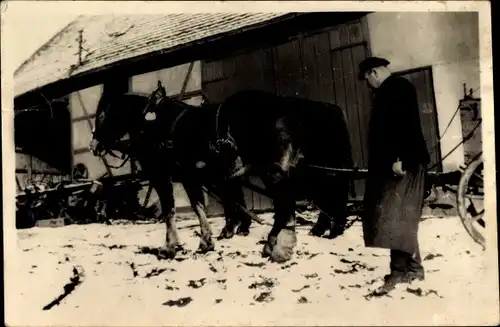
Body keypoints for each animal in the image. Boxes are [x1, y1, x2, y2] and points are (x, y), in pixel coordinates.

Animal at [91, 84, 352, 264]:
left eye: (101, 115)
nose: (94, 146)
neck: (153, 123)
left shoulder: (162, 176)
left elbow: (171, 211)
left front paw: (170, 247)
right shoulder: (193, 176)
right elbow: (200, 206)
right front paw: (208, 240)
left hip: (274, 171)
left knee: (288, 204)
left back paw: (279, 246)